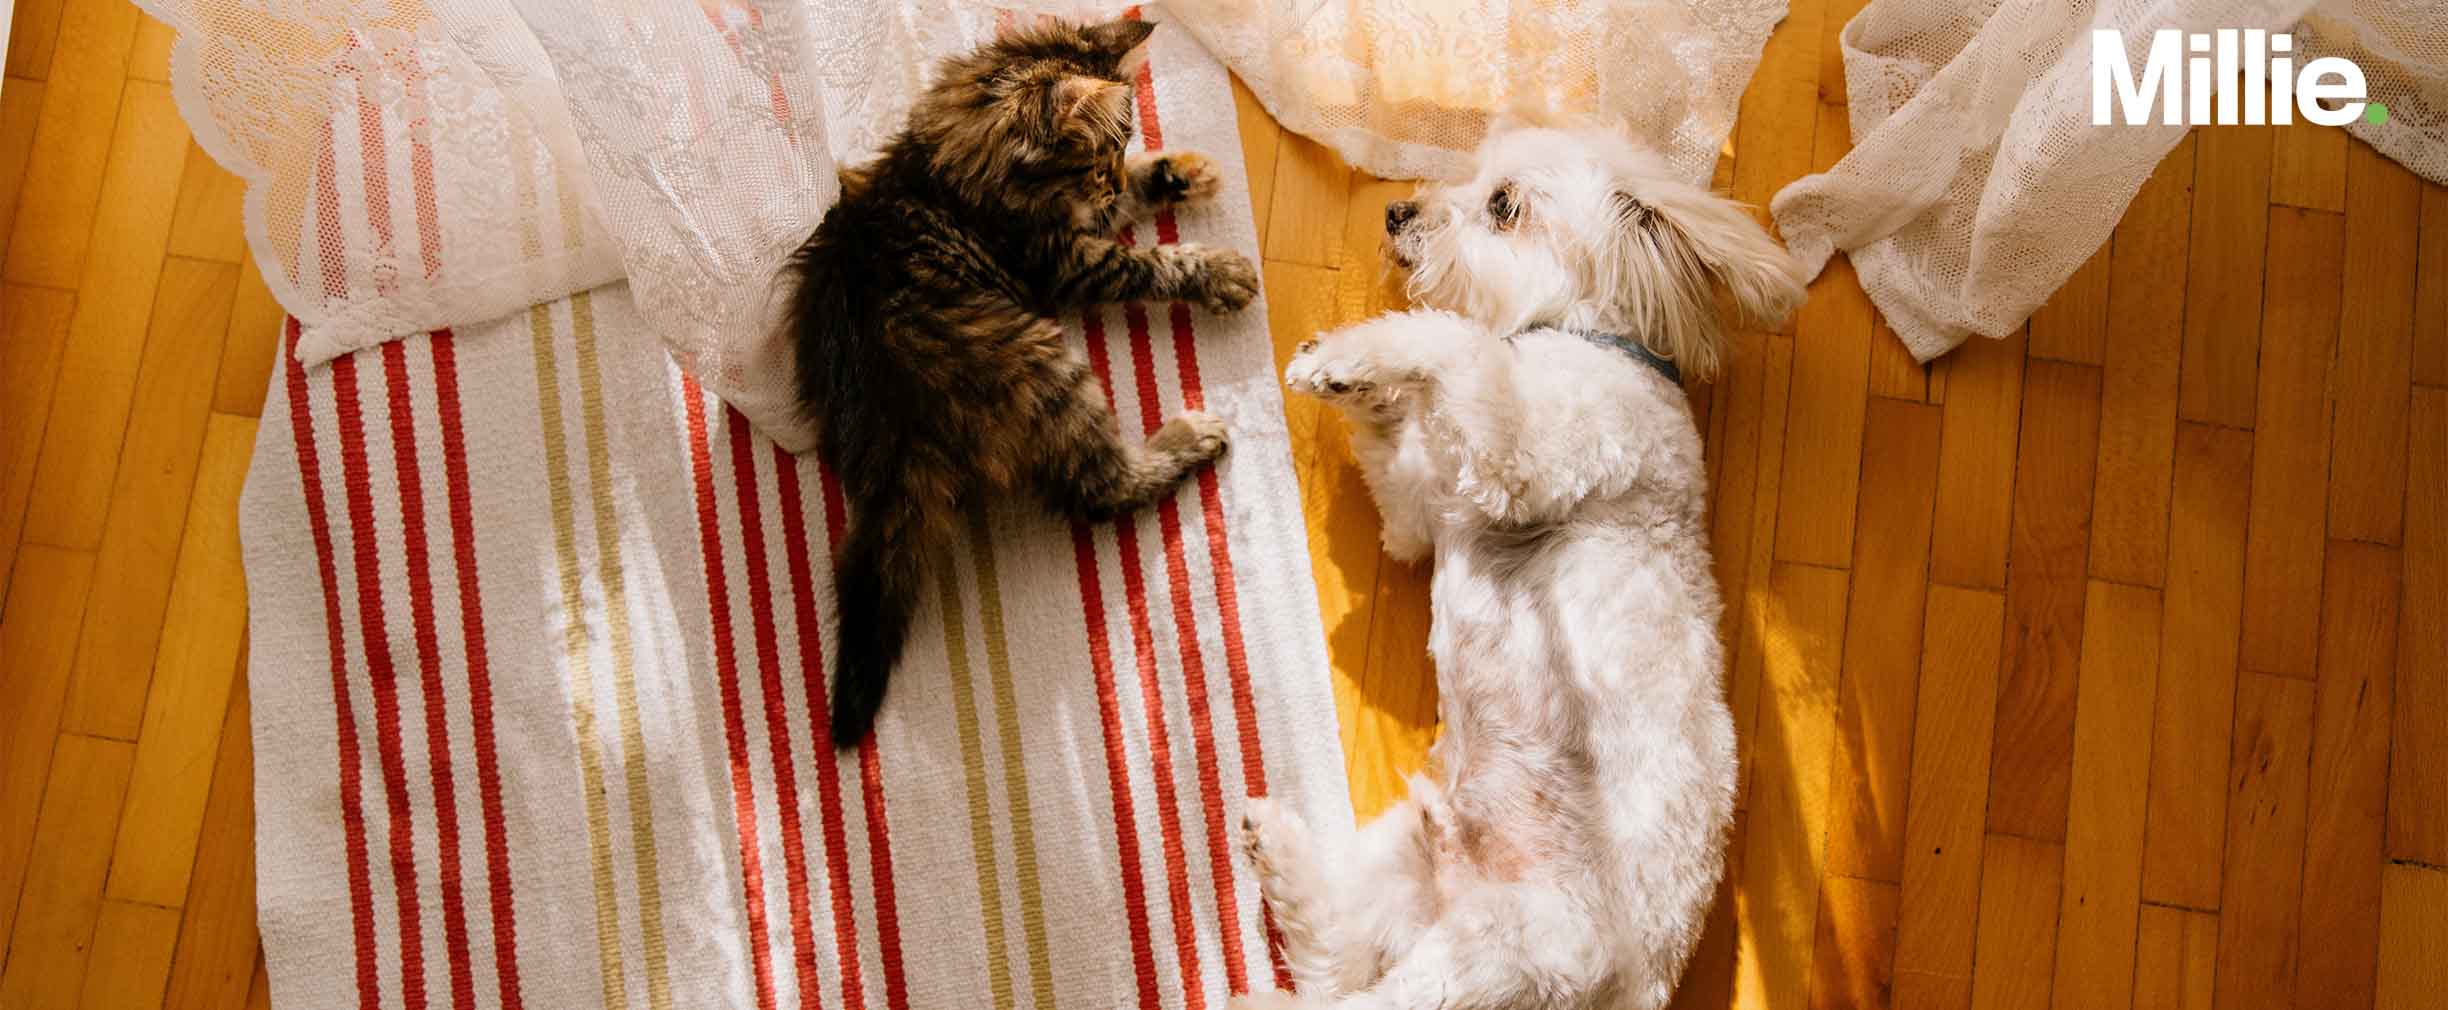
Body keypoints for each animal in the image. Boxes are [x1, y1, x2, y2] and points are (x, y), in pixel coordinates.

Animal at [788, 15, 1253, 748]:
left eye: (1120, 147)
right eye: (1095, 158)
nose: (1108, 177)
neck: (952, 167)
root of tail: (889, 437)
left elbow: (1132, 200)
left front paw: (1179, 171)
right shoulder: (1065, 262)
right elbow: (1152, 262)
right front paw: (1218, 271)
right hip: (1045, 363)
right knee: (1102, 491)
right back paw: (1188, 436)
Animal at [1243, 124, 1801, 1007]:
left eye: (1503, 205)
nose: (1398, 213)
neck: (1584, 338)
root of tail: (1634, 990)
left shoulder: (1526, 454)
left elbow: (1456, 340)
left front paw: (1356, 352)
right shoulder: (1420, 507)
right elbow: (1402, 444)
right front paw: (1340, 370)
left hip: (1498, 953)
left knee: (1357, 992)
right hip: (1401, 857)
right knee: (1333, 949)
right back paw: (1277, 844)